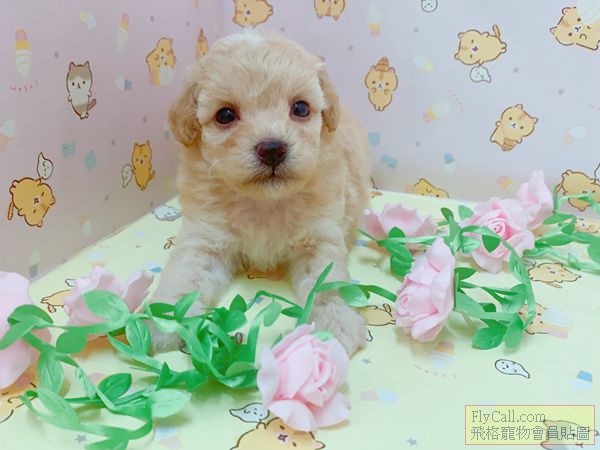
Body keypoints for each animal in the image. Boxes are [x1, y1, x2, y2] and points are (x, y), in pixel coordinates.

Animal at [151, 31, 371, 356]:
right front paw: (170, 319)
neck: (265, 201)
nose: (272, 149)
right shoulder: (206, 238)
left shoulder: (319, 237)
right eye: (225, 115)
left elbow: (327, 281)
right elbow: (185, 274)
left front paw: (335, 319)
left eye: (301, 108)